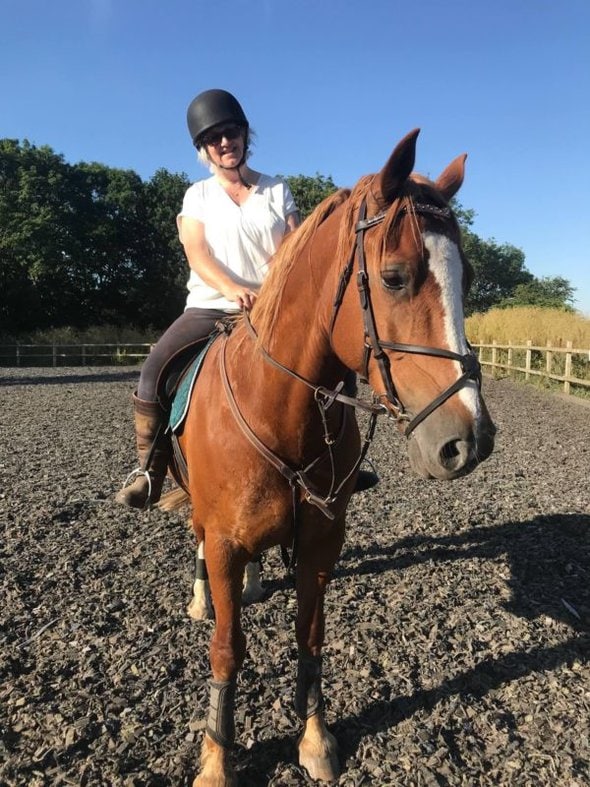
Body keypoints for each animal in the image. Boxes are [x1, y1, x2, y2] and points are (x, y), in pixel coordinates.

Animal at [163, 128, 496, 785]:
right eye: (394, 278)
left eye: (467, 277)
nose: (468, 441)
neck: (279, 408)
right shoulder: (224, 543)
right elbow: (226, 650)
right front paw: (216, 758)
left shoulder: (321, 539)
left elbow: (310, 636)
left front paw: (314, 739)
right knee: (196, 539)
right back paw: (201, 595)